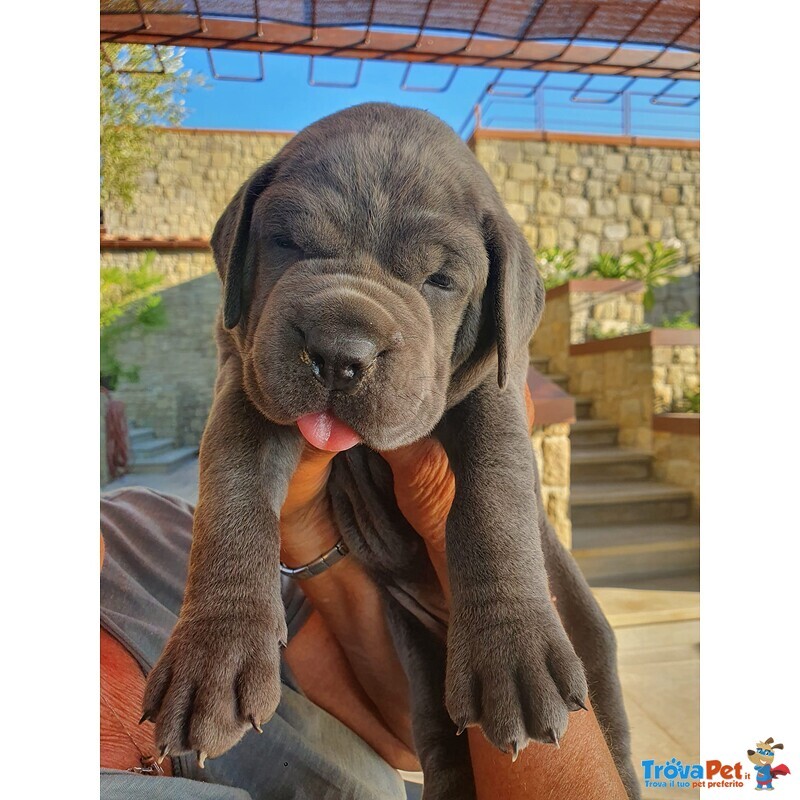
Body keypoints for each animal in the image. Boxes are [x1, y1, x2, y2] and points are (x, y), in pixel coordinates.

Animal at [139, 103, 636, 796]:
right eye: (287, 243)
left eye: (441, 280)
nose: (338, 353)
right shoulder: (244, 375)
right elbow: (232, 492)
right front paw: (214, 657)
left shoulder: (494, 390)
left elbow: (494, 493)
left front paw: (513, 651)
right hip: (421, 662)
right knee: (436, 733)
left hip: (586, 636)